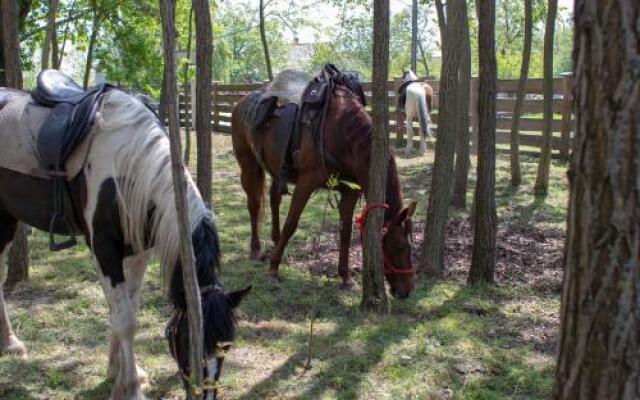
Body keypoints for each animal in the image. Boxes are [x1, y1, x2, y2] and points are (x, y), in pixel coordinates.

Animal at [232, 70, 418, 298]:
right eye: (400, 247)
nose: (407, 290)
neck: (341, 132)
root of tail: (242, 102)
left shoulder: (350, 192)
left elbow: (345, 232)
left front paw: (346, 278)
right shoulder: (306, 182)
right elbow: (291, 224)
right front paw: (273, 270)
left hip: (277, 170)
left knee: (274, 198)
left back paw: (276, 245)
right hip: (248, 164)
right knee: (254, 205)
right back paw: (256, 249)